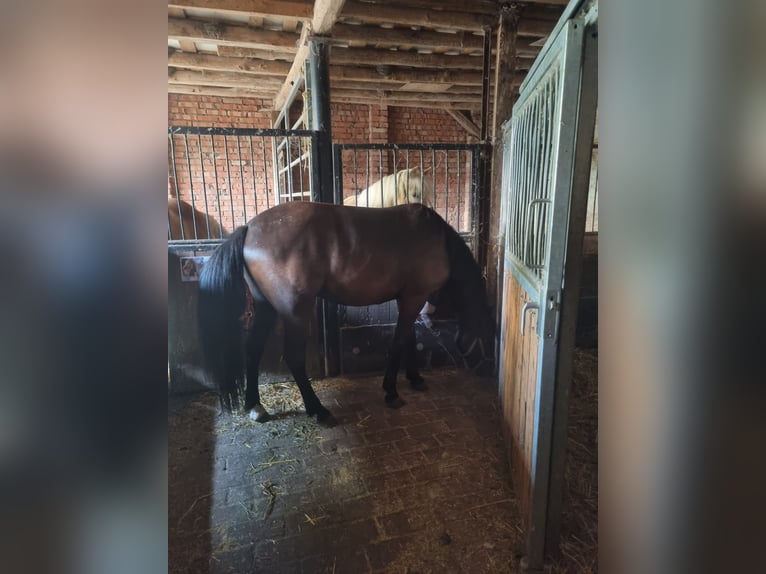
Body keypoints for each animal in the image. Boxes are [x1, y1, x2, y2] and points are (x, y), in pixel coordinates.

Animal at [198, 200, 498, 426]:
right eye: (488, 337)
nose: (488, 373)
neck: (438, 240)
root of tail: (249, 228)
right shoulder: (415, 298)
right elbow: (399, 343)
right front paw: (391, 392)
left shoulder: (408, 300)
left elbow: (409, 341)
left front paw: (415, 379)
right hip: (296, 312)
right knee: (293, 357)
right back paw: (318, 410)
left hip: (266, 308)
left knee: (253, 350)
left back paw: (255, 406)